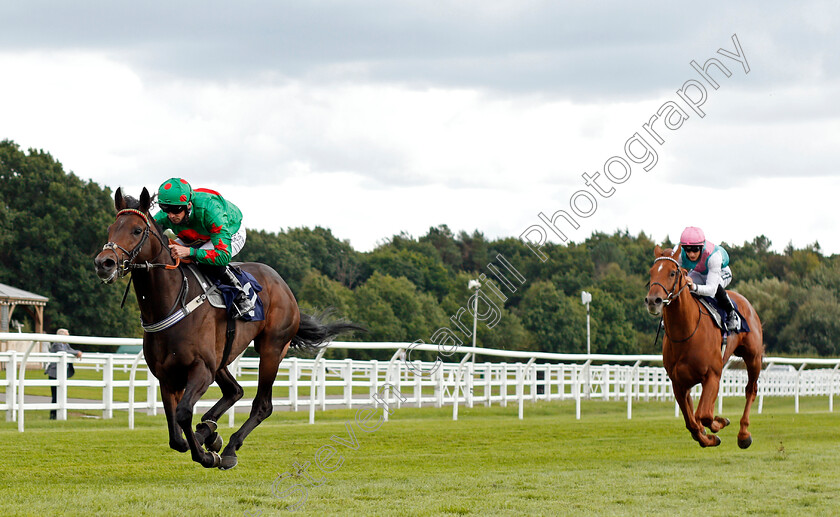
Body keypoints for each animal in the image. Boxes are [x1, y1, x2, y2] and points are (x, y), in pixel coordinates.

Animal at [93, 188, 360, 468]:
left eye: (136, 230)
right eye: (111, 228)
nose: (104, 263)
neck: (171, 302)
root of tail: (283, 284)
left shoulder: (201, 368)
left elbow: (184, 413)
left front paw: (206, 456)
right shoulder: (166, 376)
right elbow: (176, 436)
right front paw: (203, 440)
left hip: (271, 349)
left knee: (262, 405)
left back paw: (229, 447)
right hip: (222, 358)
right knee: (235, 391)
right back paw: (209, 432)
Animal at [648, 246, 764, 448]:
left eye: (672, 273)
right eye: (651, 272)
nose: (653, 300)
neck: (685, 334)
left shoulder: (712, 375)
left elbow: (703, 415)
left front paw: (718, 424)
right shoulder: (679, 383)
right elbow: (692, 422)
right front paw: (708, 436)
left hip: (753, 357)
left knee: (751, 389)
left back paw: (743, 434)